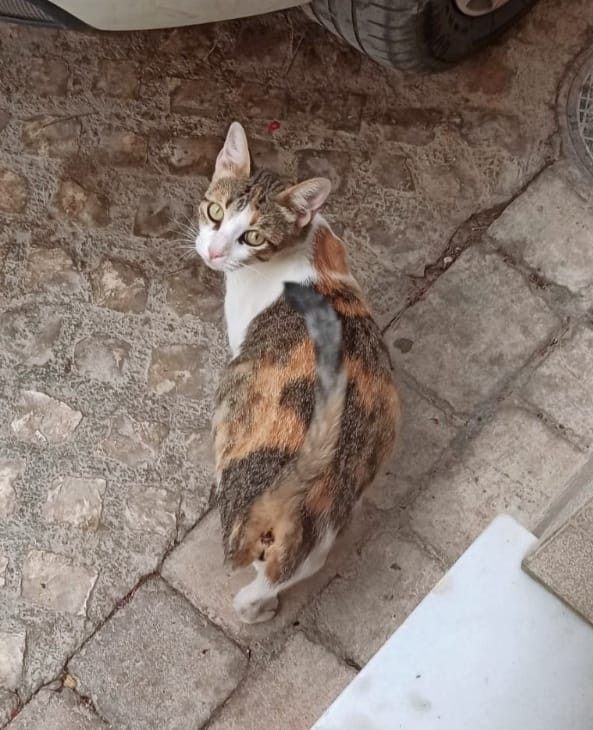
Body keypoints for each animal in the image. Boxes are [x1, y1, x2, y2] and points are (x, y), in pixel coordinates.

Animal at [195, 122, 400, 623]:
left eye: (252, 237)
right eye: (215, 212)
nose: (213, 252)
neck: (305, 247)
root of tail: (295, 489)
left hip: (232, 399)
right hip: (317, 540)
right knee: (277, 577)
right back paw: (261, 607)